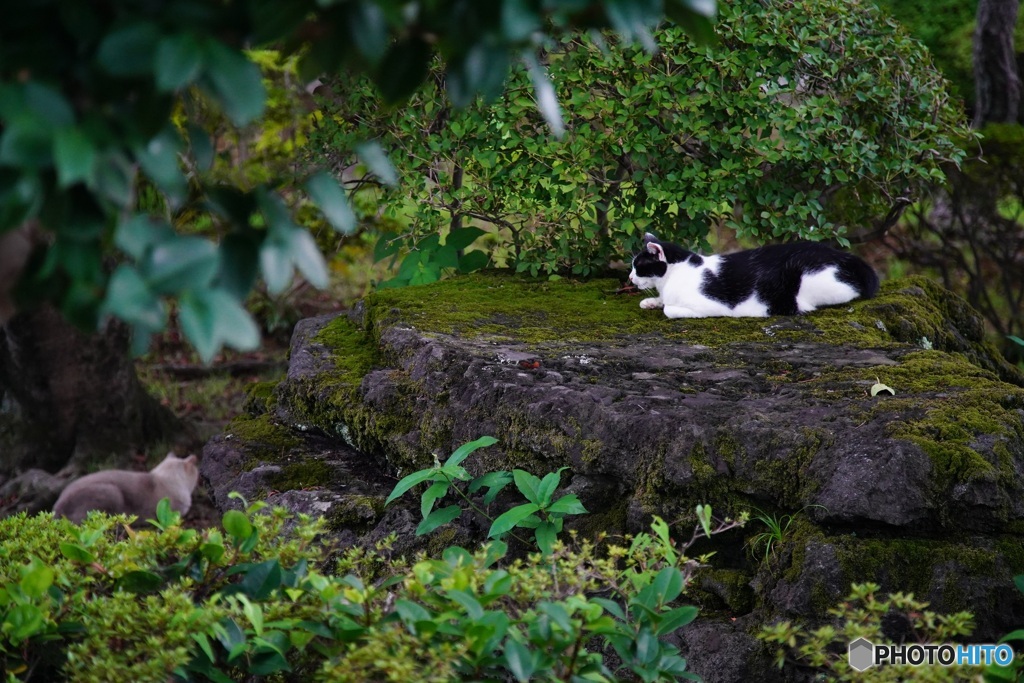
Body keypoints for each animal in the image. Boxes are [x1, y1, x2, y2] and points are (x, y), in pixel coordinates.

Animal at [630, 233, 880, 319]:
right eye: (632, 266)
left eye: (639, 266)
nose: (630, 278)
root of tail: (845, 256)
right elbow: (661, 301)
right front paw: (650, 301)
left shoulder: (712, 305)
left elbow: (669, 309)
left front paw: (663, 305)